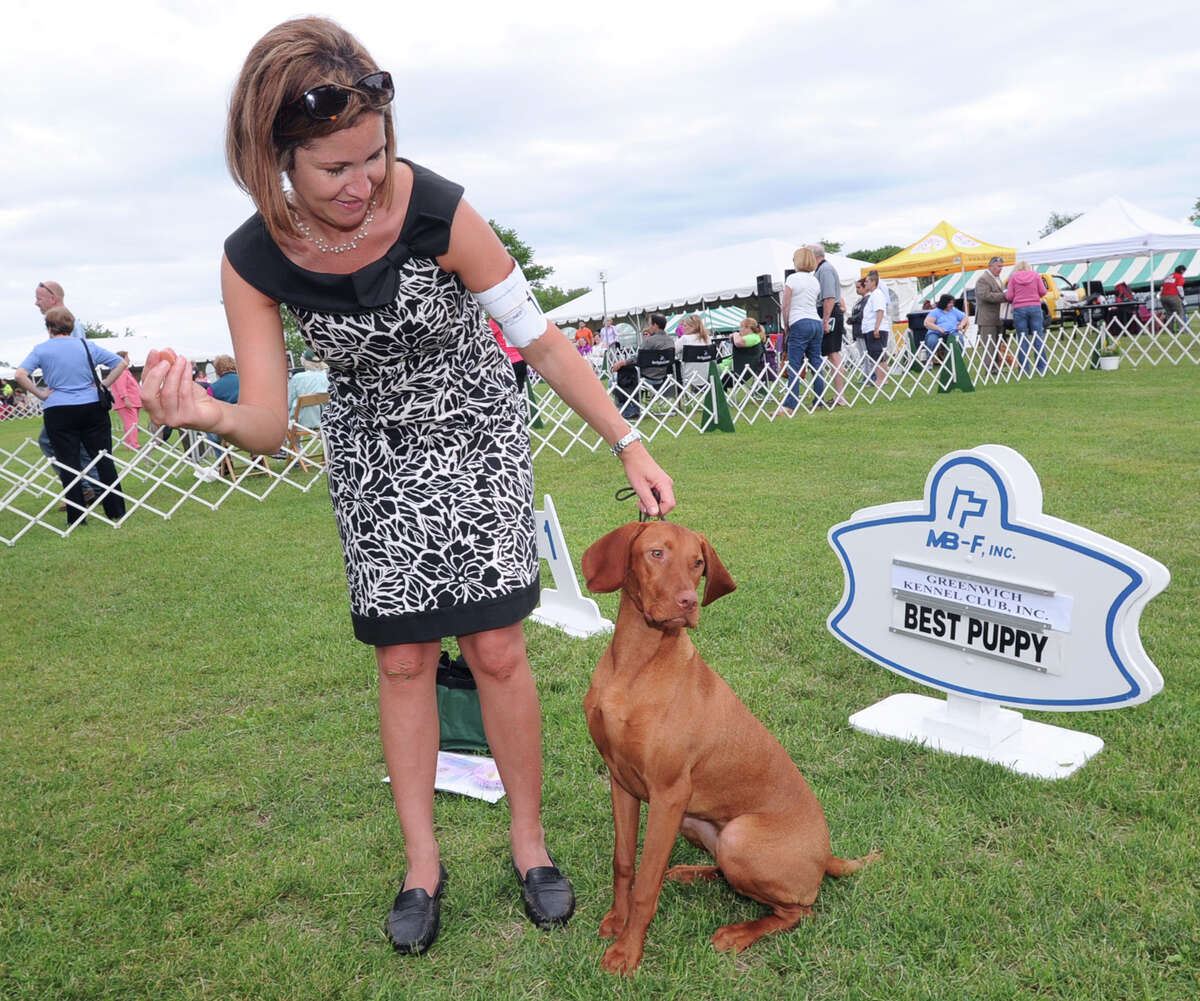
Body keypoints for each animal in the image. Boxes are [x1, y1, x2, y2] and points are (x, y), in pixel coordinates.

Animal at [576, 518, 878, 969]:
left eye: (698, 563)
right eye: (656, 553)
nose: (688, 602)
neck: (636, 665)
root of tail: (827, 856)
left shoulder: (668, 794)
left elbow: (646, 885)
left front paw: (628, 952)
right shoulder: (621, 780)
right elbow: (624, 862)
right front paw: (617, 919)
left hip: (738, 837)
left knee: (798, 911)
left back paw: (738, 933)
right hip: (694, 823)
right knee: (724, 870)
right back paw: (691, 873)